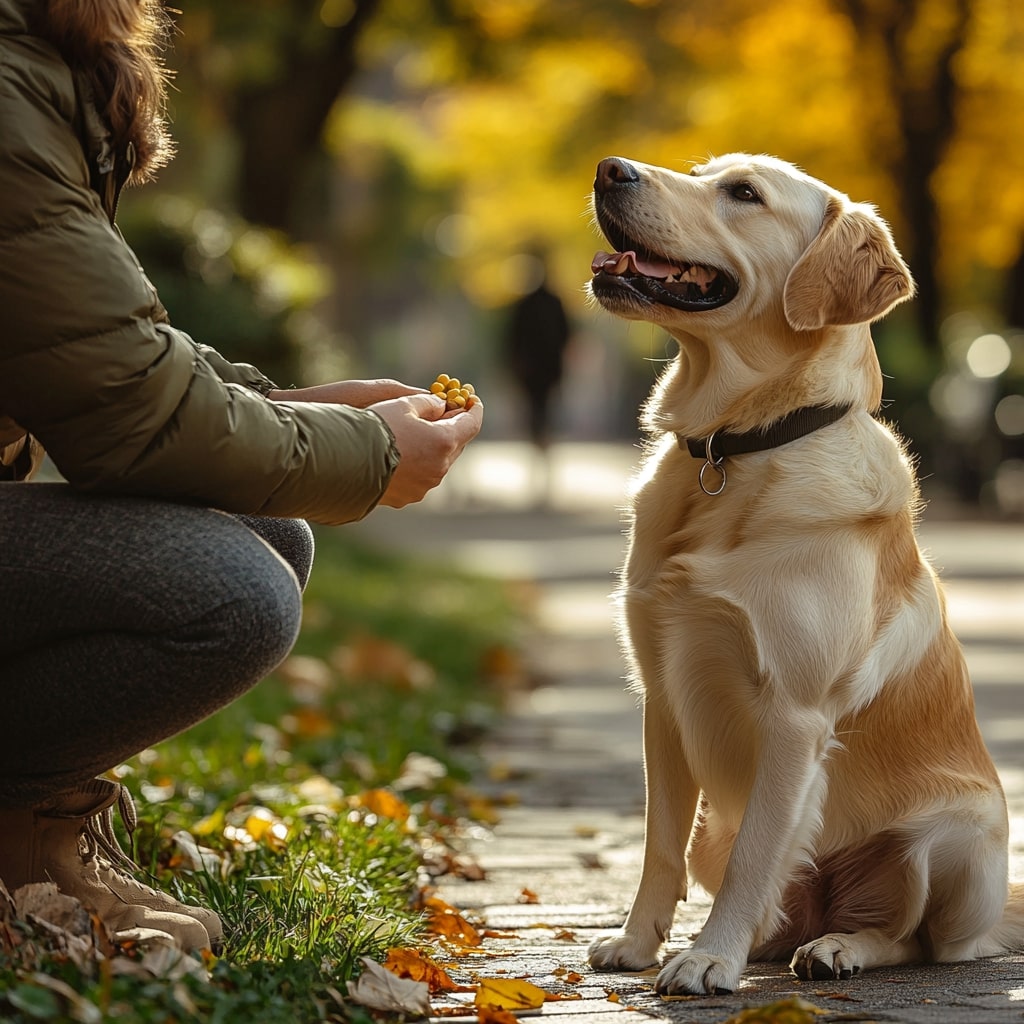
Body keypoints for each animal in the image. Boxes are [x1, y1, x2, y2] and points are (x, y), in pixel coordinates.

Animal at [585, 155, 1024, 995]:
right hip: (716, 831)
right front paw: (638, 942)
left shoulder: (793, 714)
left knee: (915, 938)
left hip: (951, 841)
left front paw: (708, 957)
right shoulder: (661, 697)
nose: (608, 169)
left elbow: (759, 854)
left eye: (744, 193)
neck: (737, 446)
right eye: (701, 172)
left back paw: (837, 947)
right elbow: (659, 845)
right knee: (779, 898)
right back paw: (774, 941)